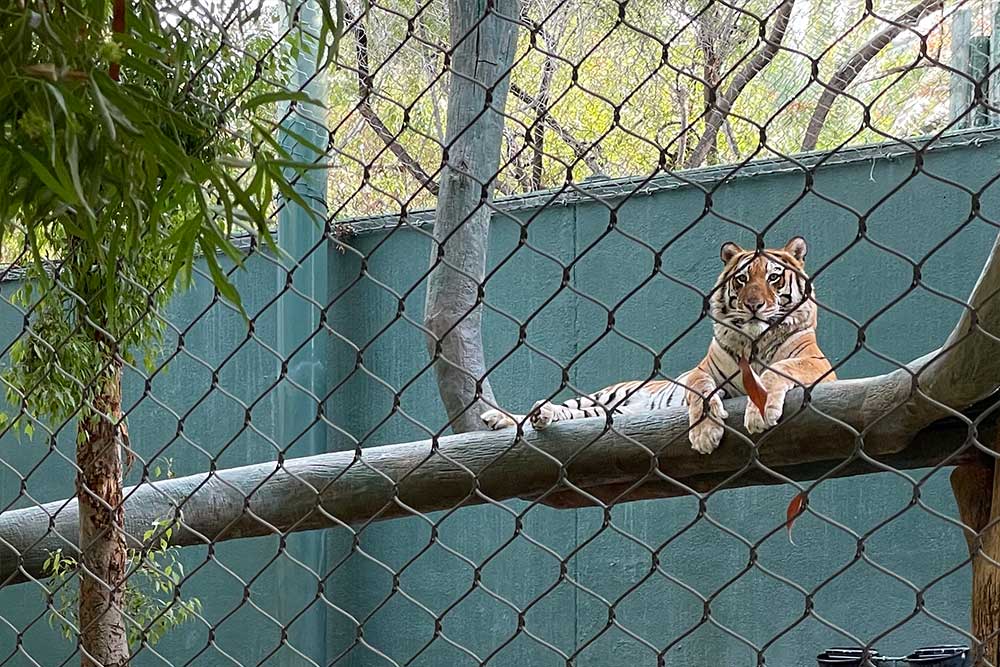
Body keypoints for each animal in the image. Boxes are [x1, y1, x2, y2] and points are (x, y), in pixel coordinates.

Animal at [480, 236, 835, 454]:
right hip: (603, 398)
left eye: (774, 277)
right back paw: (504, 417)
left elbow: (780, 369)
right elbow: (702, 393)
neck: (754, 342)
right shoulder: (703, 371)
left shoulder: (819, 367)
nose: (753, 305)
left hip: (609, 410)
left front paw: (761, 412)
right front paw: (705, 435)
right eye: (742, 279)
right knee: (561, 409)